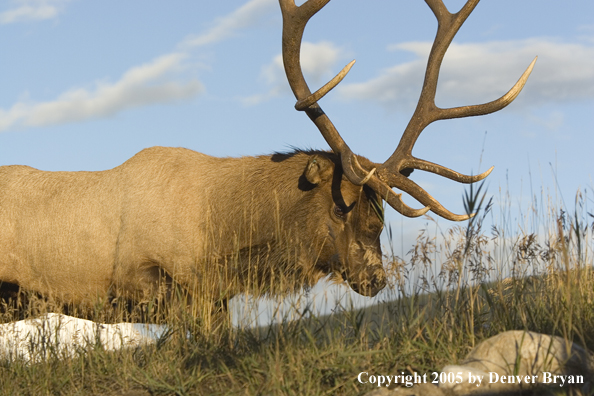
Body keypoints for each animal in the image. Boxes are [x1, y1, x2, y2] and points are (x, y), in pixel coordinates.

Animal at [0, 0, 532, 324]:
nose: (376, 279)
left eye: (380, 214)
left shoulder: (216, 297)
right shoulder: (145, 279)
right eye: (340, 205)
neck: (223, 237)